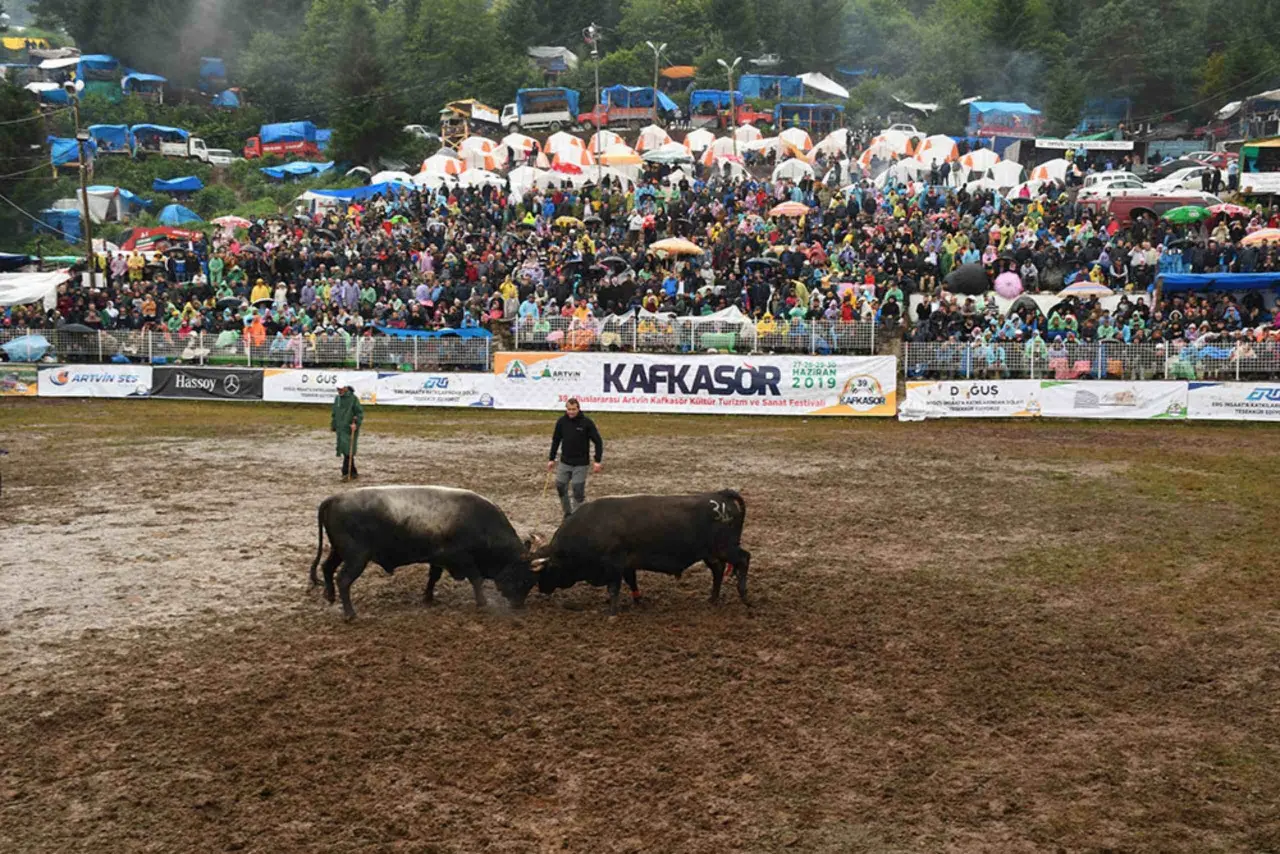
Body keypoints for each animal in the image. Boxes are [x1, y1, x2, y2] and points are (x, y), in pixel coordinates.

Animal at [307, 485, 539, 619]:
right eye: (524, 577)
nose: (519, 605)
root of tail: (334, 499)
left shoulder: (438, 559)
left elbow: (433, 577)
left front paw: (427, 597)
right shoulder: (463, 559)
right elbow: (476, 579)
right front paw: (482, 602)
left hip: (339, 551)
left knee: (327, 568)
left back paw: (330, 596)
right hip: (356, 558)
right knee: (343, 579)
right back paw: (350, 614)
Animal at [515, 489, 751, 615]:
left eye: (545, 571)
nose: (542, 589)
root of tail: (720, 496)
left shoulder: (614, 565)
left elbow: (614, 588)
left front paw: (612, 611)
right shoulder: (628, 566)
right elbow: (632, 582)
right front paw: (637, 601)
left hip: (726, 548)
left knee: (743, 559)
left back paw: (744, 596)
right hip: (711, 553)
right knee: (718, 571)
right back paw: (712, 599)